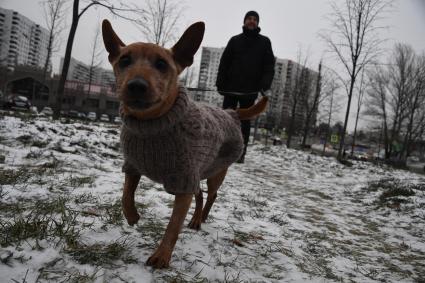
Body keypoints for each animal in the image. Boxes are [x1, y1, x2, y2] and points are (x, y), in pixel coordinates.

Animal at [101, 19, 266, 268]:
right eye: (124, 61)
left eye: (162, 64)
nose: (136, 85)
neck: (152, 125)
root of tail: (231, 113)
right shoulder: (133, 167)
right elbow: (125, 195)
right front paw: (132, 216)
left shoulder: (184, 181)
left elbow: (173, 225)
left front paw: (161, 256)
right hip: (198, 174)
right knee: (200, 196)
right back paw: (196, 218)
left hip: (214, 172)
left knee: (211, 195)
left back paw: (201, 218)